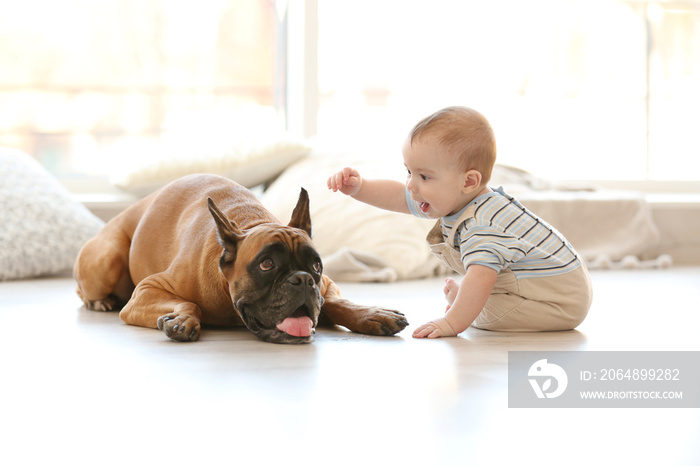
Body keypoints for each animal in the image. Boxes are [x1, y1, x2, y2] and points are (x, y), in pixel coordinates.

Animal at [74, 174, 408, 342]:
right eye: (266, 264)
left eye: (315, 265)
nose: (302, 280)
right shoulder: (146, 291)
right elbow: (189, 303)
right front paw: (182, 318)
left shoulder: (326, 283)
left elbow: (337, 302)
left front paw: (371, 313)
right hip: (107, 260)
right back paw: (100, 301)